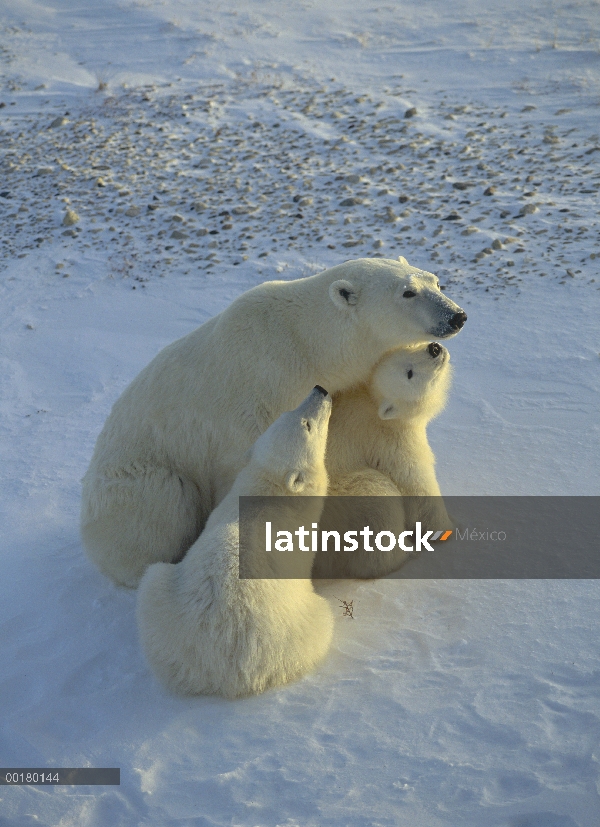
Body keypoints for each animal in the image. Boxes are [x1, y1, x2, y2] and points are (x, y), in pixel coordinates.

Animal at [81, 258, 464, 588]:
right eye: (407, 292)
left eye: (435, 281)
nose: (457, 316)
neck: (307, 344)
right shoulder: (260, 397)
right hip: (135, 482)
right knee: (165, 504)